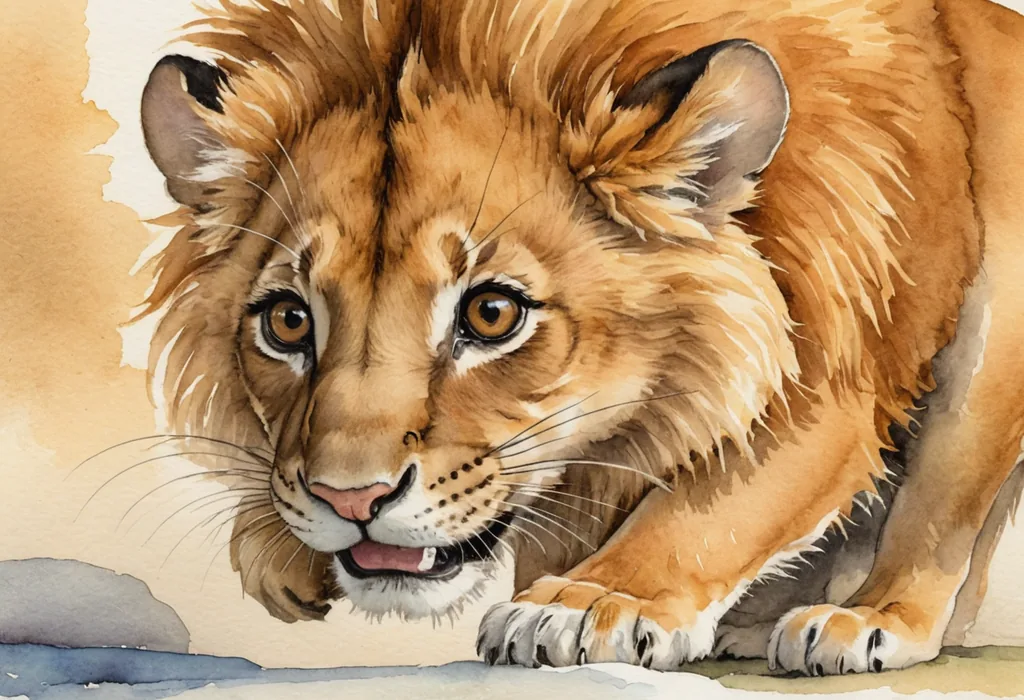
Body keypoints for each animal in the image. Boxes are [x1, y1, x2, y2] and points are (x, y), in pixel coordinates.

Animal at [135, 0, 1024, 675]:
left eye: (491, 315)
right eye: (288, 321)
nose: (350, 501)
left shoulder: (833, 372)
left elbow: (711, 505)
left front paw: (593, 603)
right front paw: (277, 551)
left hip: (985, 363)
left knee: (935, 523)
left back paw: (868, 621)